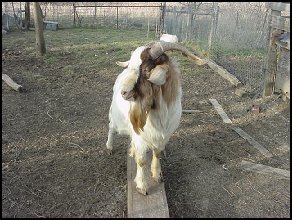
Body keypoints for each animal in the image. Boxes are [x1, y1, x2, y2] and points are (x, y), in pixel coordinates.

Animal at [105, 40, 205, 194]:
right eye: (131, 65)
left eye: (146, 70)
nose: (124, 92)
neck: (158, 112)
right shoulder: (140, 136)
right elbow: (141, 161)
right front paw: (142, 186)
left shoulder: (164, 136)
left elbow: (157, 153)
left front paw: (157, 175)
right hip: (116, 118)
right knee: (111, 127)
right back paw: (109, 147)